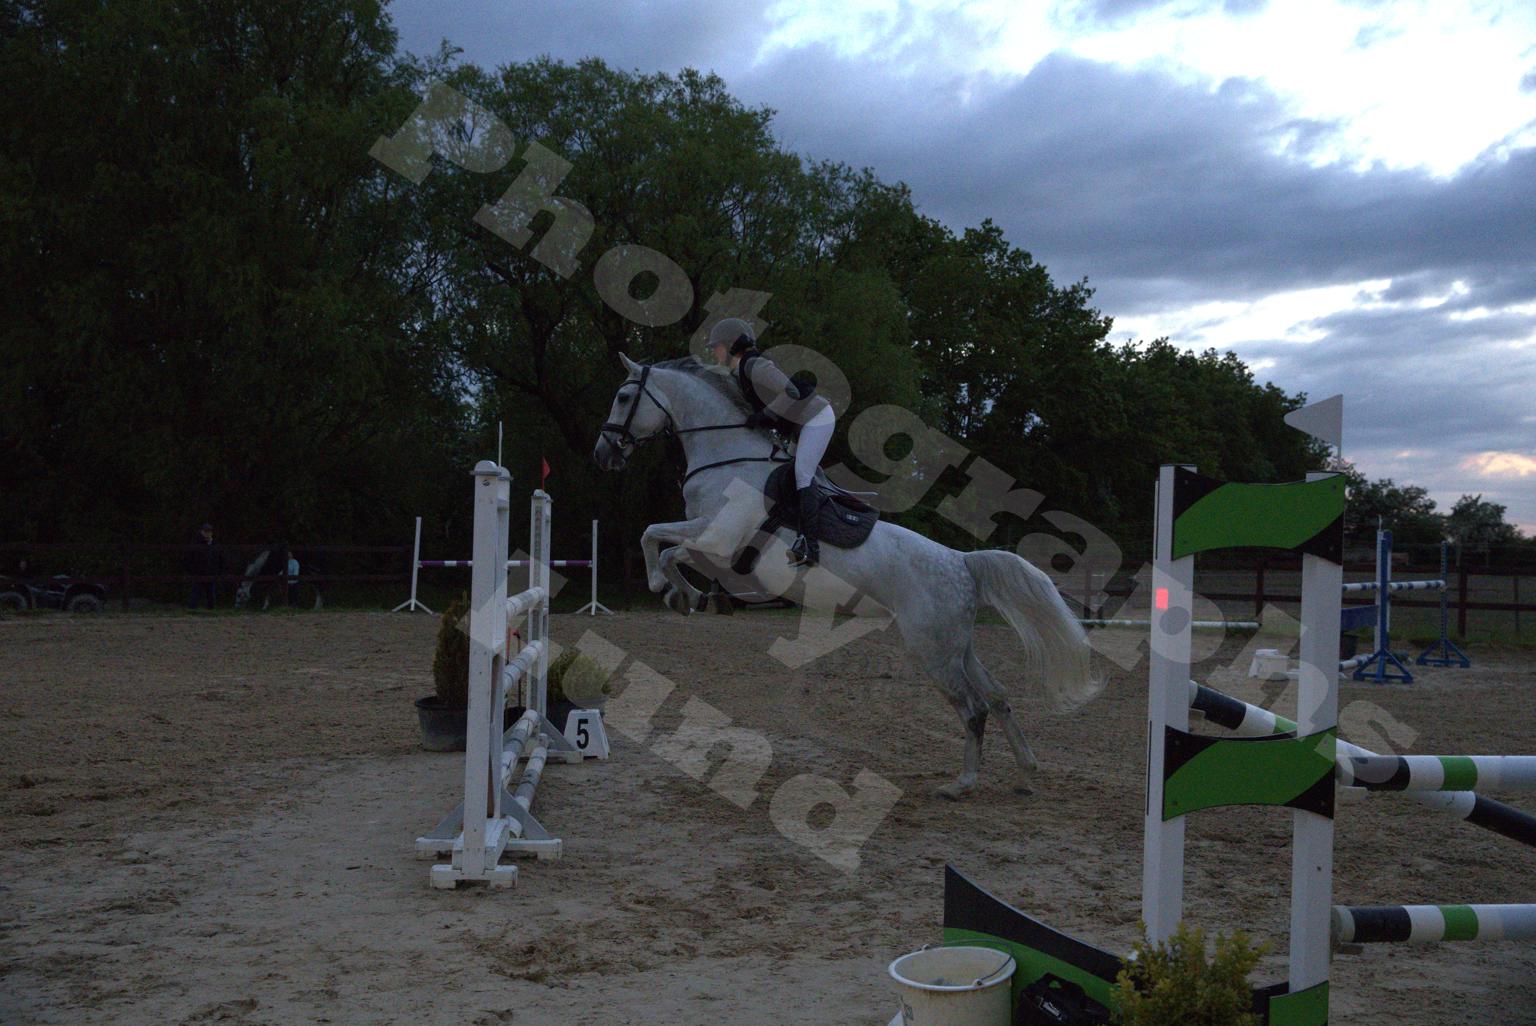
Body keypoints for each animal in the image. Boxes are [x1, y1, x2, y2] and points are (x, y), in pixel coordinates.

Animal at [593, 353, 1098, 799]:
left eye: (622, 397)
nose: (603, 454)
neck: (726, 462)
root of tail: (961, 561)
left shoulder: (718, 543)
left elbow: (657, 540)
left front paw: (670, 589)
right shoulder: (711, 545)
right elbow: (662, 543)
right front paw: (685, 596)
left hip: (931, 649)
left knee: (973, 709)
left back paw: (963, 784)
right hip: (956, 645)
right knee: (997, 695)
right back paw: (1025, 774)